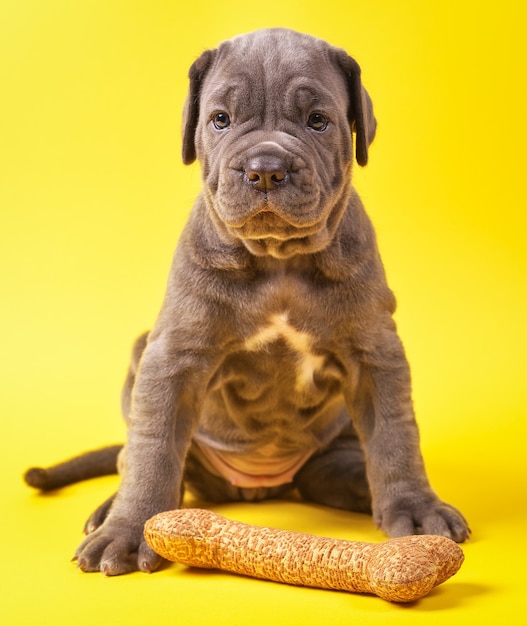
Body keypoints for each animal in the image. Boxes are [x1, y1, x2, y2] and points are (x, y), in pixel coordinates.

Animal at [24, 30, 470, 576]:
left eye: (317, 121)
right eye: (220, 119)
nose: (266, 170)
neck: (278, 259)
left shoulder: (376, 354)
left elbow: (395, 435)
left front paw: (416, 507)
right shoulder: (173, 356)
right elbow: (153, 448)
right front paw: (127, 531)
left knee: (337, 467)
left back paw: (364, 488)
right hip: (141, 355)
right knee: (142, 458)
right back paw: (111, 510)